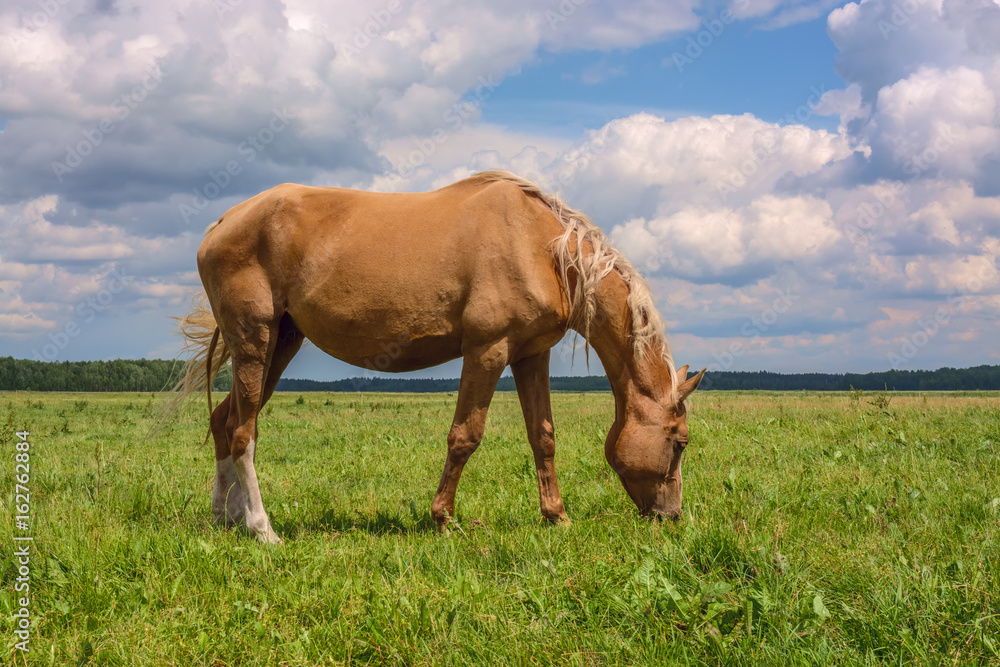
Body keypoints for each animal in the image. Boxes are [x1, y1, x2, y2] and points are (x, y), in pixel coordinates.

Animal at [170, 171, 704, 544]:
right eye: (679, 442)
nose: (672, 517)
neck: (541, 248)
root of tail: (222, 225)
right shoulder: (487, 351)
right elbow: (465, 436)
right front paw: (443, 518)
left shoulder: (531, 355)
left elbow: (543, 437)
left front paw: (557, 517)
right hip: (255, 342)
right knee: (244, 434)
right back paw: (263, 529)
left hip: (280, 344)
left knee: (224, 423)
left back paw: (226, 519)